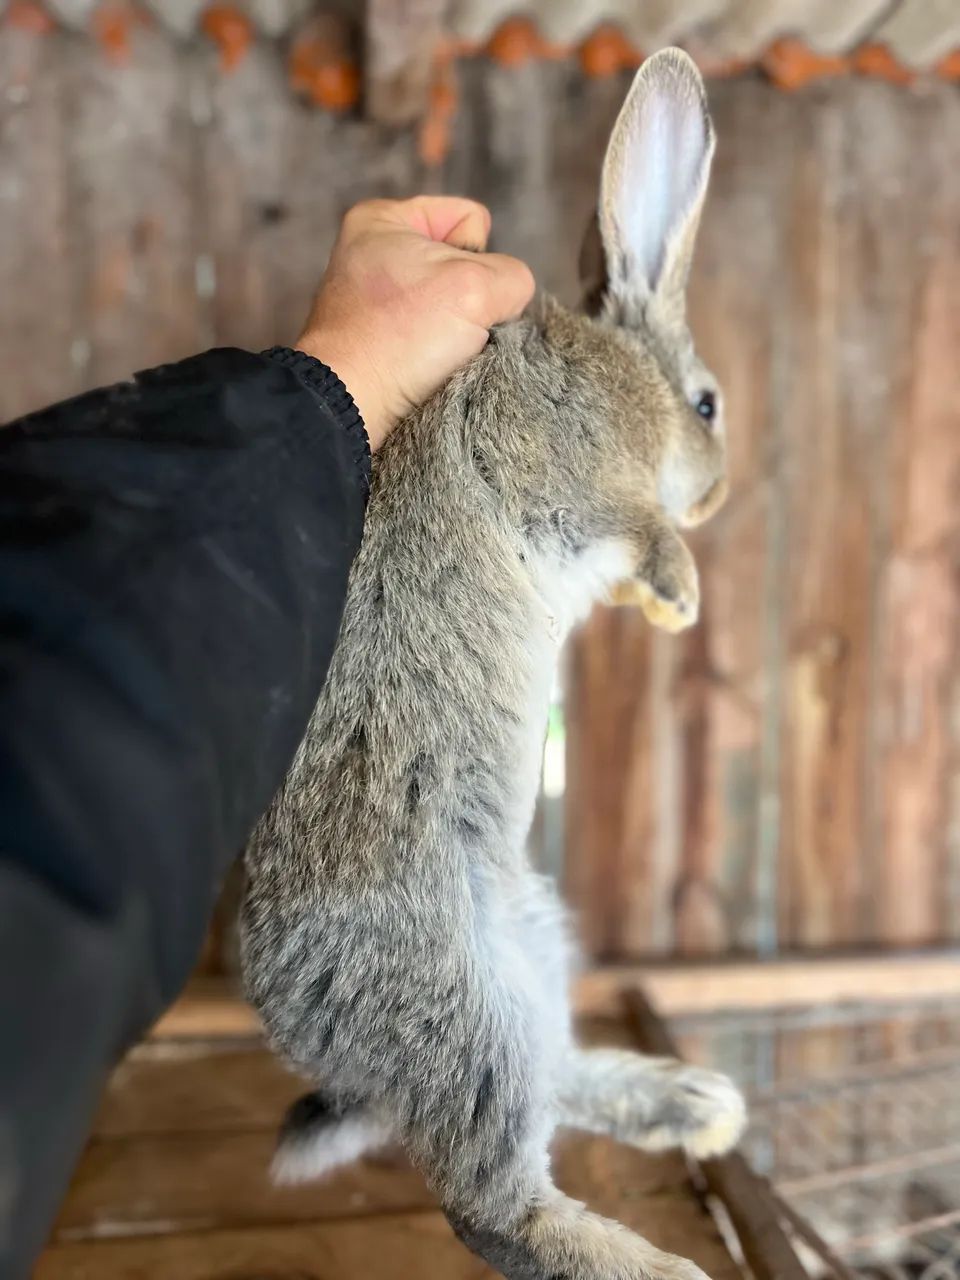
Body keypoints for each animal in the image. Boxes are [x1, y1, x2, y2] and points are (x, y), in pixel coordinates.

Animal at [241, 47, 744, 1280]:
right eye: (708, 405)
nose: (717, 492)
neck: (628, 375)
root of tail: (311, 1034)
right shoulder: (564, 467)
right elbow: (633, 522)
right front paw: (676, 593)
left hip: (534, 953)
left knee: (556, 1083)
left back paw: (701, 1105)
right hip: (463, 1008)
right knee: (493, 1206)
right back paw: (664, 1264)